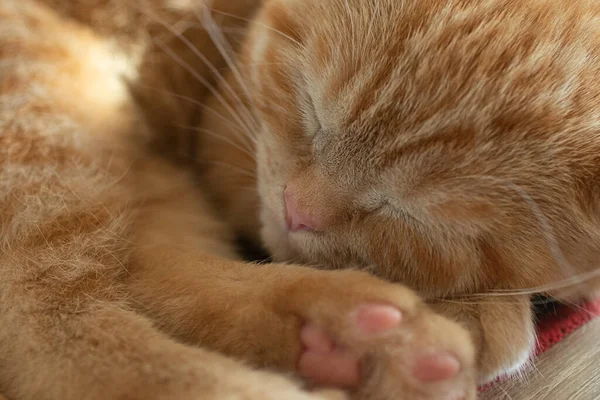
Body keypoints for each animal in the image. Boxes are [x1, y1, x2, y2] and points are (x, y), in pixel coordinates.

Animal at [0, 0, 596, 400]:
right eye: (310, 108)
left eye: (413, 216)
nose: (298, 210)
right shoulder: (224, 139)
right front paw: (484, 311)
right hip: (41, 90)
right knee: (54, 325)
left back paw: (353, 340)